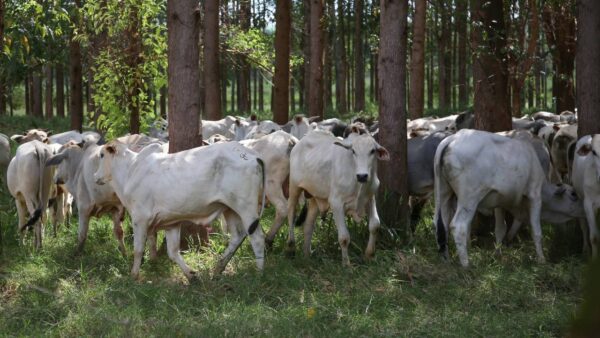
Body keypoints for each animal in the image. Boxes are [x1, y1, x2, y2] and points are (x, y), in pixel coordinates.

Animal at [93, 140, 264, 280]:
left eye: (101, 155)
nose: (95, 176)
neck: (130, 171)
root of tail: (252, 155)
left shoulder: (140, 219)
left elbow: (138, 249)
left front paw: (134, 275)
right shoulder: (171, 223)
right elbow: (173, 252)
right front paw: (191, 275)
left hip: (246, 207)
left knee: (257, 238)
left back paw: (259, 273)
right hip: (230, 209)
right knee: (237, 236)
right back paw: (218, 269)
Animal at [288, 129, 392, 264]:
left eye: (372, 151)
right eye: (353, 151)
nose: (362, 176)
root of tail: (300, 142)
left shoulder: (370, 198)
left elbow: (375, 225)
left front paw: (369, 255)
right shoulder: (336, 203)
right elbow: (344, 237)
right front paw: (346, 263)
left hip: (315, 198)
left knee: (308, 226)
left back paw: (307, 255)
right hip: (294, 187)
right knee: (291, 213)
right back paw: (291, 246)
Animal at [434, 129, 584, 266]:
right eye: (573, 195)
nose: (583, 208)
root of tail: (453, 138)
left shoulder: (499, 202)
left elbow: (500, 229)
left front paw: (498, 254)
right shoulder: (534, 195)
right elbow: (536, 230)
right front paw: (541, 260)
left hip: (444, 194)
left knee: (442, 224)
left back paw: (446, 260)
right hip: (469, 199)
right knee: (458, 226)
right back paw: (466, 265)